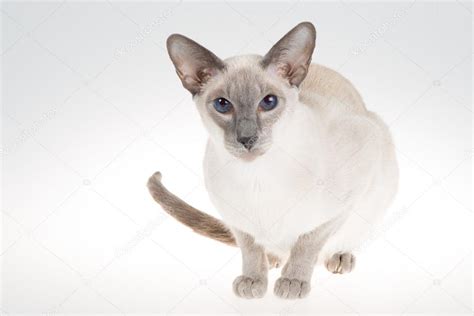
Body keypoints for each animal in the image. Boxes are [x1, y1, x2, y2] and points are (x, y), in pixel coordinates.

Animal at [148, 21, 400, 298]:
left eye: (268, 102)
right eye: (223, 105)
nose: (247, 139)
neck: (258, 176)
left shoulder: (346, 199)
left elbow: (307, 243)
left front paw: (292, 282)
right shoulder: (235, 218)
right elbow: (250, 248)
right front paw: (254, 280)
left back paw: (337, 257)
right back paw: (273, 259)